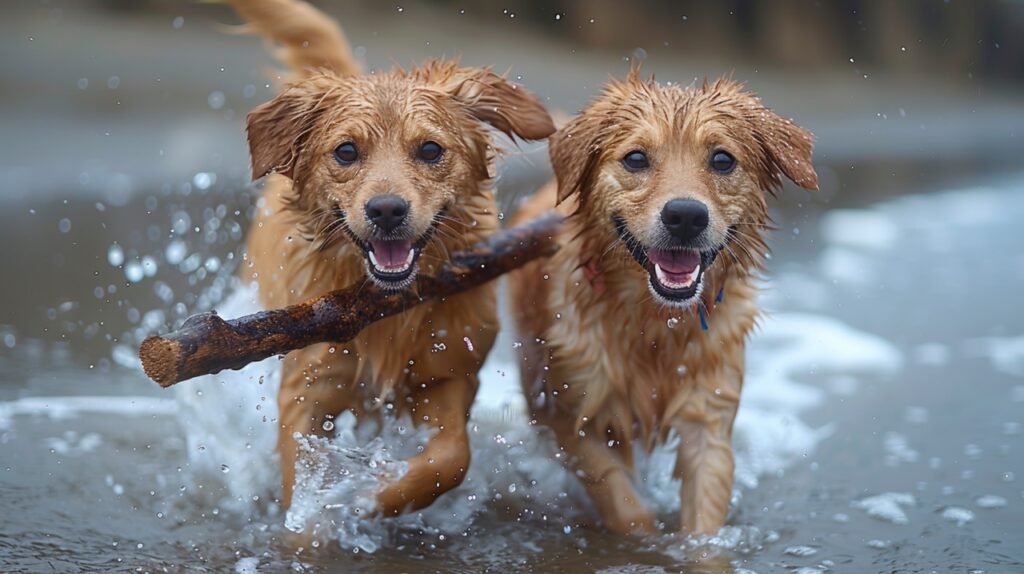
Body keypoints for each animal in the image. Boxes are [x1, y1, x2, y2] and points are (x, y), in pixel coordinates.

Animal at [230, 0, 552, 509]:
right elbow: (302, 488)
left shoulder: (448, 374)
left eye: (430, 149)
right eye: (346, 151)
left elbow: (451, 459)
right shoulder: (310, 387)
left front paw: (375, 494)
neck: (383, 312)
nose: (386, 209)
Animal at [509, 70, 815, 532]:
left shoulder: (709, 417)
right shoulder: (571, 413)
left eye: (722, 160)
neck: (655, 322)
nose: (686, 216)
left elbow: (704, 521)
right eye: (636, 158)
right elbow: (625, 505)